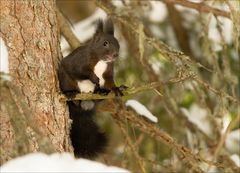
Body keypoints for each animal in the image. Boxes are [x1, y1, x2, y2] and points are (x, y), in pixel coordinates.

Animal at [58, 17, 126, 158]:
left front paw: (116, 88)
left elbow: (110, 82)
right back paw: (71, 94)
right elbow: (80, 71)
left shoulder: (108, 73)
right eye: (105, 43)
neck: (101, 61)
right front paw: (94, 78)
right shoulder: (79, 61)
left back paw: (102, 92)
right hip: (66, 79)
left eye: (118, 44)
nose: (116, 54)